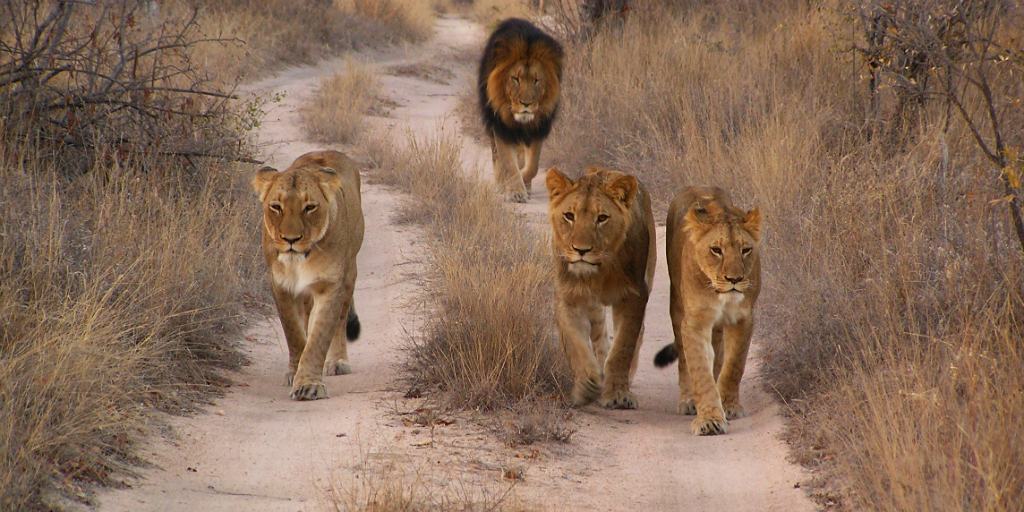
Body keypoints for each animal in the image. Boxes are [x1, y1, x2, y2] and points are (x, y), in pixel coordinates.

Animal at [250, 149, 364, 401]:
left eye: (310, 207)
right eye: (276, 206)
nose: (291, 239)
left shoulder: (330, 284)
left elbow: (319, 337)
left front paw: (309, 384)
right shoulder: (280, 286)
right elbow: (293, 332)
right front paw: (295, 372)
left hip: (349, 273)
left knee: (340, 320)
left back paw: (337, 361)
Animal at [477, 17, 565, 201]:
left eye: (536, 80)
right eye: (515, 79)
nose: (526, 104)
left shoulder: (537, 128)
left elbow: (533, 166)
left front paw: (523, 180)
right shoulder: (501, 126)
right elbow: (508, 162)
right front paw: (514, 190)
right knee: (497, 156)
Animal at [544, 164, 655, 407]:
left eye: (602, 218)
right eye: (569, 216)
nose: (581, 250)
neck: (599, 271)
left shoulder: (634, 295)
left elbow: (623, 346)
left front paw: (618, 394)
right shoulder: (569, 296)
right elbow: (577, 345)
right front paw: (587, 386)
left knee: (638, 332)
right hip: (593, 305)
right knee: (600, 335)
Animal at [655, 188, 761, 436]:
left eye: (745, 250)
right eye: (716, 250)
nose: (735, 279)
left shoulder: (743, 319)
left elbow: (734, 365)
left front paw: (728, 405)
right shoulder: (695, 321)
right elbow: (699, 369)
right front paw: (710, 419)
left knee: (719, 354)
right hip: (677, 307)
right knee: (684, 358)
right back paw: (688, 400)